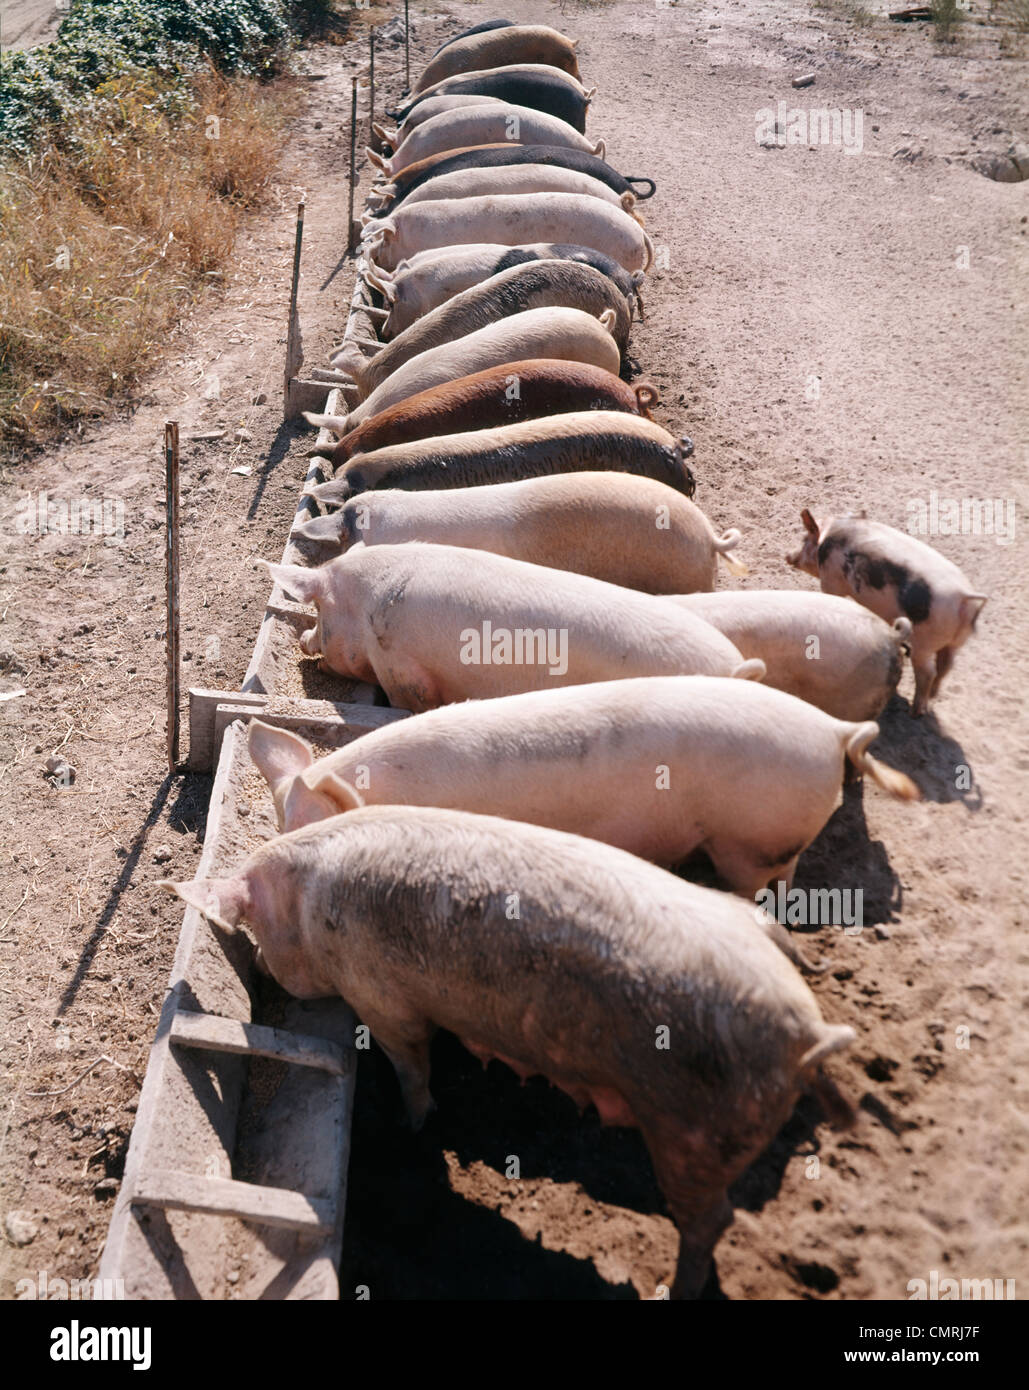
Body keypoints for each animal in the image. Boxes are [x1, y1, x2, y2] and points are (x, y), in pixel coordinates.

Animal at [162, 804, 856, 1298]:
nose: (258, 969)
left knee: (712, 1221)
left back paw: (674, 1291)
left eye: (256, 929)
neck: (306, 904)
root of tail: (807, 1032)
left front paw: (412, 1127)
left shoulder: (381, 998)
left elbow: (412, 1063)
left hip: (696, 1133)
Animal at [787, 510, 987, 717]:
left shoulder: (830, 580)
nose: (787, 555)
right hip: (957, 640)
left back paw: (915, 712)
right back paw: (931, 698)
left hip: (926, 641)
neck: (828, 534)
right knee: (946, 666)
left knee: (928, 671)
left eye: (804, 539)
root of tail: (964, 596)